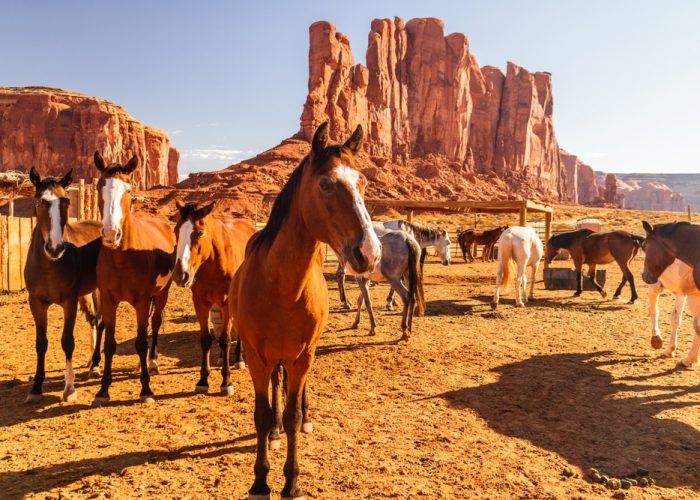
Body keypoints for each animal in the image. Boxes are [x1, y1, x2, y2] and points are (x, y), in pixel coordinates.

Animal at [24, 168, 103, 403]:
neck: (50, 264)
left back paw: (96, 364)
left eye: (66, 202)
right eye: (38, 202)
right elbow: (41, 342)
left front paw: (69, 388)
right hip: (86, 294)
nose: (55, 248)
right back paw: (90, 362)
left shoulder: (69, 301)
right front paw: (36, 388)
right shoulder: (36, 302)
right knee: (93, 319)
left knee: (101, 322)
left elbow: (67, 341)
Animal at [92, 152, 176, 405]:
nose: (111, 234)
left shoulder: (141, 302)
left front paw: (146, 389)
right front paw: (103, 390)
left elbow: (140, 342)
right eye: (100, 186)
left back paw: (153, 362)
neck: (123, 257)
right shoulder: (108, 300)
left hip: (162, 294)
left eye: (128, 190)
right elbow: (110, 344)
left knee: (155, 323)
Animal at [172, 200, 255, 396]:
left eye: (200, 232)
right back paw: (221, 358)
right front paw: (203, 380)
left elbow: (225, 340)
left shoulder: (226, 302)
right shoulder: (200, 303)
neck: (212, 263)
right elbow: (206, 339)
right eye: (176, 231)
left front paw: (226, 382)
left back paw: (239, 360)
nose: (180, 275)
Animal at [229, 122, 381, 499]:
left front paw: (292, 482)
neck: (281, 287)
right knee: (274, 391)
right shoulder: (257, 357)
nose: (370, 252)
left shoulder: (302, 357)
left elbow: (293, 415)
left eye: (363, 183)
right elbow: (262, 414)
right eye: (325, 184)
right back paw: (273, 434)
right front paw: (260, 480)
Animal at [642, 221, 700, 367]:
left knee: (654, 310)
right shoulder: (685, 293)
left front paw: (689, 358)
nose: (644, 275)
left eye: (645, 246)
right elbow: (676, 319)